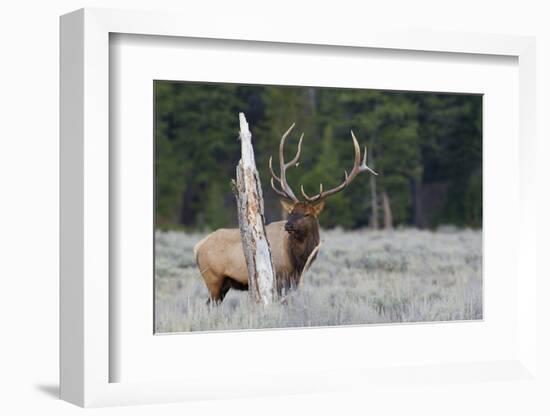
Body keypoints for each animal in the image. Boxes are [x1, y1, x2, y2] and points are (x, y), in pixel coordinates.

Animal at [194, 123, 380, 302]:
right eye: (292, 212)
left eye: (307, 214)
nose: (288, 225)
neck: (298, 261)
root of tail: (197, 247)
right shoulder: (278, 277)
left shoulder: (295, 280)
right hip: (213, 280)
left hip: (223, 285)